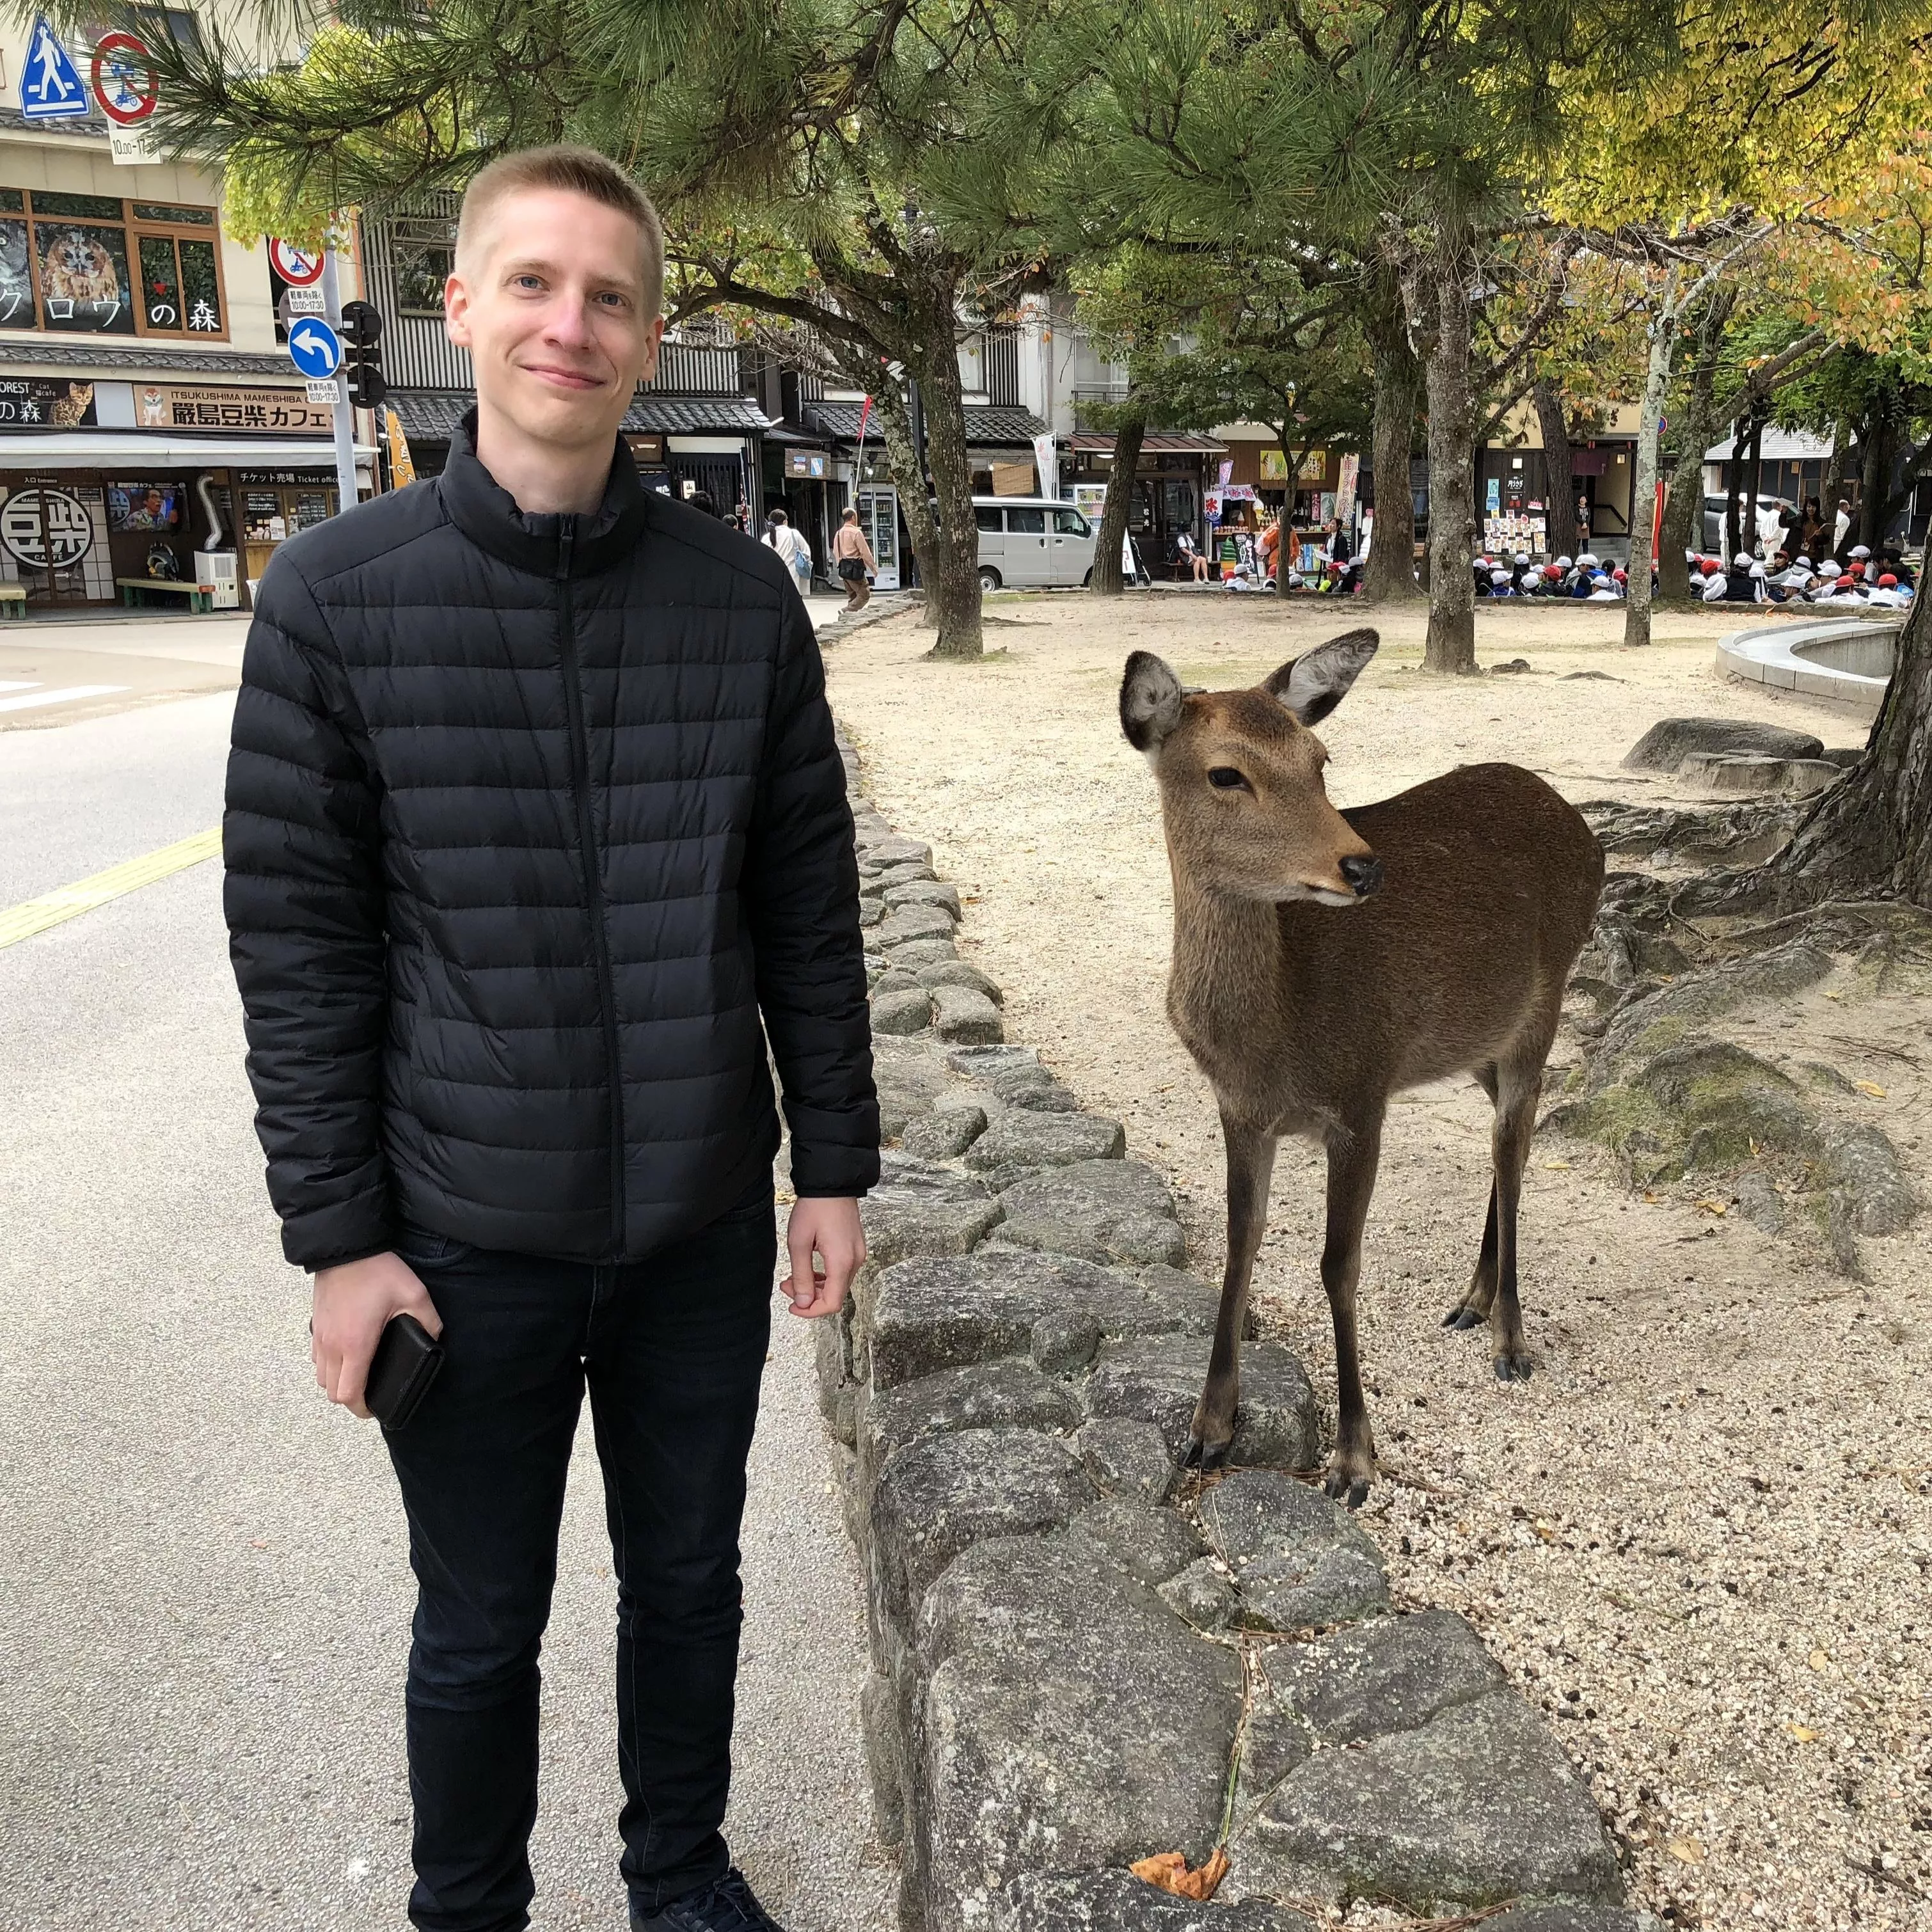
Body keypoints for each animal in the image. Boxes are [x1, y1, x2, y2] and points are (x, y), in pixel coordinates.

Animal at [1119, 629, 1604, 1506]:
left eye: (1319, 759)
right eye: (1224, 772)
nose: (1360, 867)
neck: (1270, 1037)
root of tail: (1586, 830)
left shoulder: (1361, 1095)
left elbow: (1337, 1265)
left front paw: (1352, 1459)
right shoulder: (1239, 1109)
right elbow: (1242, 1239)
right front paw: (1208, 1428)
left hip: (1541, 1006)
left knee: (1514, 1143)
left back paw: (1509, 1337)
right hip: (1473, 1039)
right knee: (1503, 1139)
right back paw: (1472, 1297)